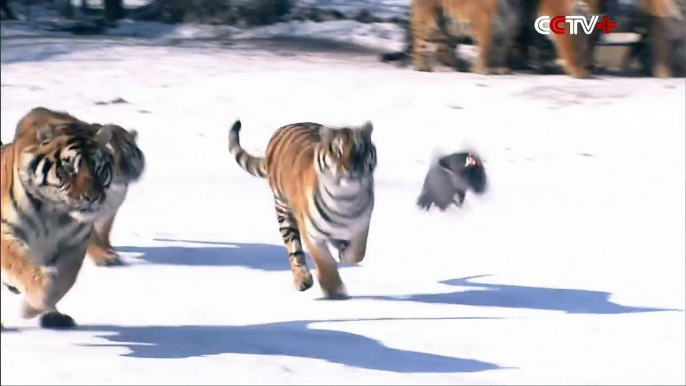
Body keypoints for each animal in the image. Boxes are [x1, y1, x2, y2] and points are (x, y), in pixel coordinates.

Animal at [1, 117, 115, 328]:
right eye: (70, 168)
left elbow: (65, 281)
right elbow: (22, 266)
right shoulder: (6, 232)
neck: (53, 212)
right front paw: (28, 307)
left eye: (98, 168)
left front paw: (31, 308)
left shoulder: (75, 243)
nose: (93, 197)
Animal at [13, 107, 146, 266]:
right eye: (111, 153)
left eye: (127, 151)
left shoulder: (109, 212)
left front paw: (109, 250)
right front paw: (103, 256)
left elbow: (105, 232)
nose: (122, 170)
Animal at [231, 120, 382, 298]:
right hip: (284, 212)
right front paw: (335, 290)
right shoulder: (311, 233)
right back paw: (302, 279)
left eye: (360, 149)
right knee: (294, 251)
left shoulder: (361, 227)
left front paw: (344, 254)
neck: (345, 198)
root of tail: (283, 128)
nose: (350, 168)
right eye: (337, 151)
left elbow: (357, 253)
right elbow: (325, 262)